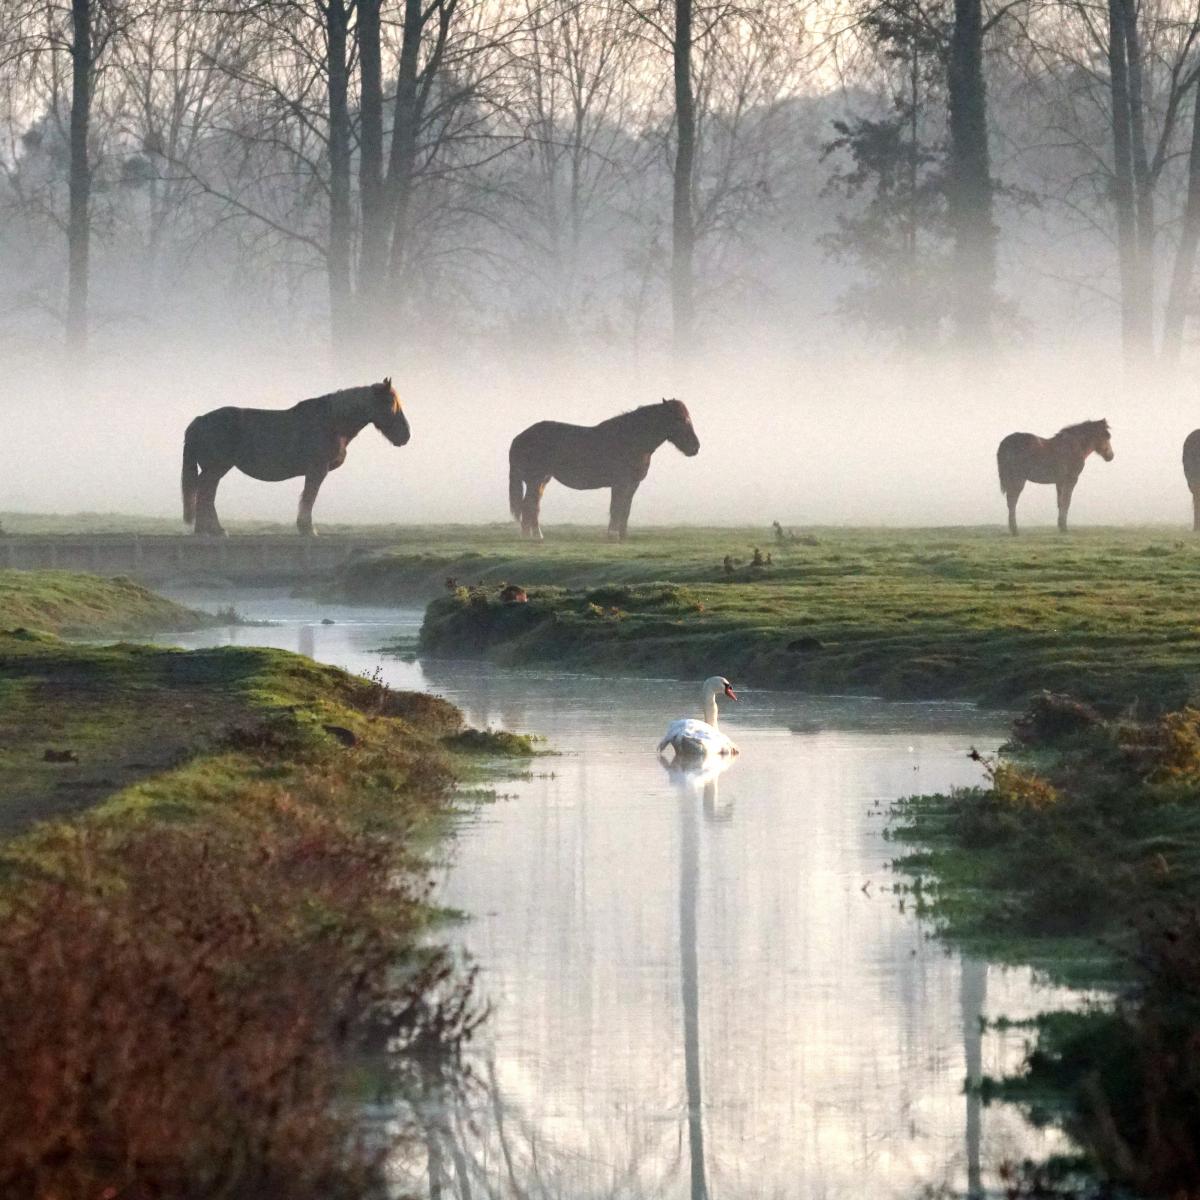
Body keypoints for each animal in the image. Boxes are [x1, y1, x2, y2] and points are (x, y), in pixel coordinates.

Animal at [177, 376, 410, 537]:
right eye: (391, 403)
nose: (406, 435)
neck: (331, 423)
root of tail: (199, 420)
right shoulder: (317, 470)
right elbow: (309, 498)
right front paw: (308, 529)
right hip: (216, 468)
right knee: (206, 492)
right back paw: (214, 530)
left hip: (214, 469)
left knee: (205, 492)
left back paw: (205, 530)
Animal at [508, 398, 700, 540]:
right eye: (680, 420)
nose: (695, 447)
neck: (632, 440)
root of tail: (520, 437)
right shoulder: (620, 484)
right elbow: (616, 508)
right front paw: (613, 535)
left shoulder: (633, 484)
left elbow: (625, 510)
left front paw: (623, 536)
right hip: (535, 480)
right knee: (529, 505)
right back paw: (533, 536)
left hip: (542, 480)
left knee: (531, 506)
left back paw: (532, 535)